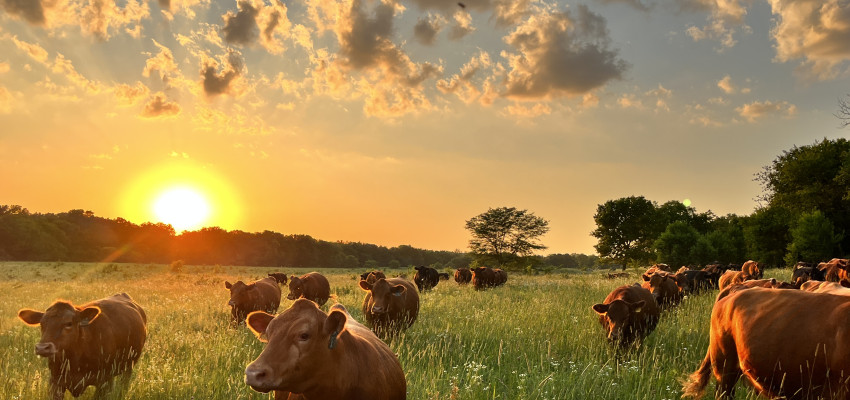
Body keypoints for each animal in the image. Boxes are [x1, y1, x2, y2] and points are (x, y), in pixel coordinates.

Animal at [17, 290, 147, 400]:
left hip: (128, 367)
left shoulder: (103, 382)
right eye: (42, 323)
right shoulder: (55, 383)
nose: (42, 348)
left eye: (68, 323)